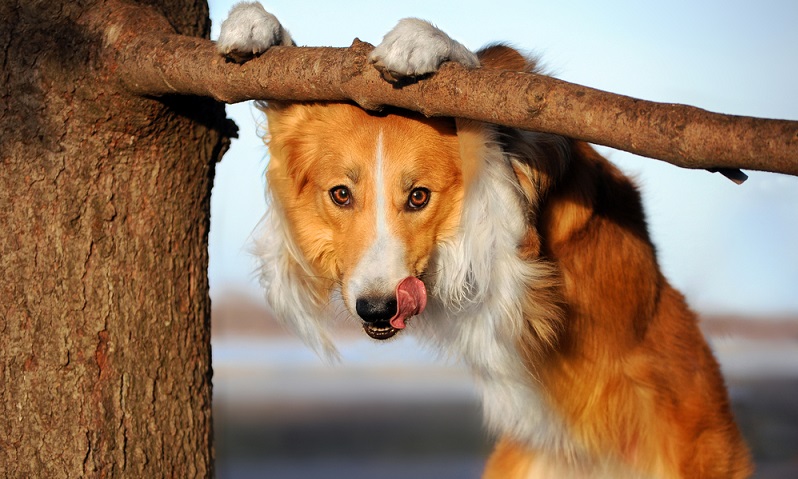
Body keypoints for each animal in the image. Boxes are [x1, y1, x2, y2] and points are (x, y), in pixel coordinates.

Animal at [220, 2, 756, 476]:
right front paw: (256, 25)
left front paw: (426, 41)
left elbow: (484, 123)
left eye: (419, 196)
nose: (376, 310)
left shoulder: (523, 252)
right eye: (340, 194)